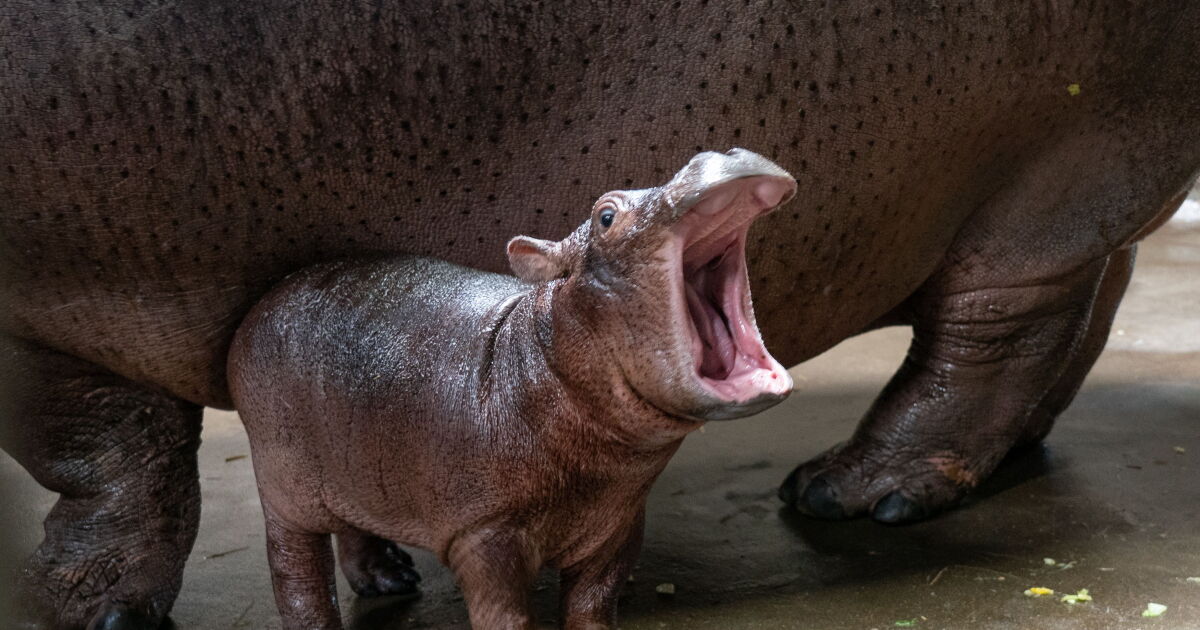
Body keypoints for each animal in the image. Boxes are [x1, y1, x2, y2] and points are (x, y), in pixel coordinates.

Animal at [227, 150, 796, 629]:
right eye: (605, 216)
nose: (716, 154)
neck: (539, 352)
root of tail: (263, 303)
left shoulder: (619, 522)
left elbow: (593, 605)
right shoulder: (483, 534)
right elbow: (505, 615)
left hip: (351, 462)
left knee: (349, 524)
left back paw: (392, 580)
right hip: (283, 488)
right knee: (296, 573)